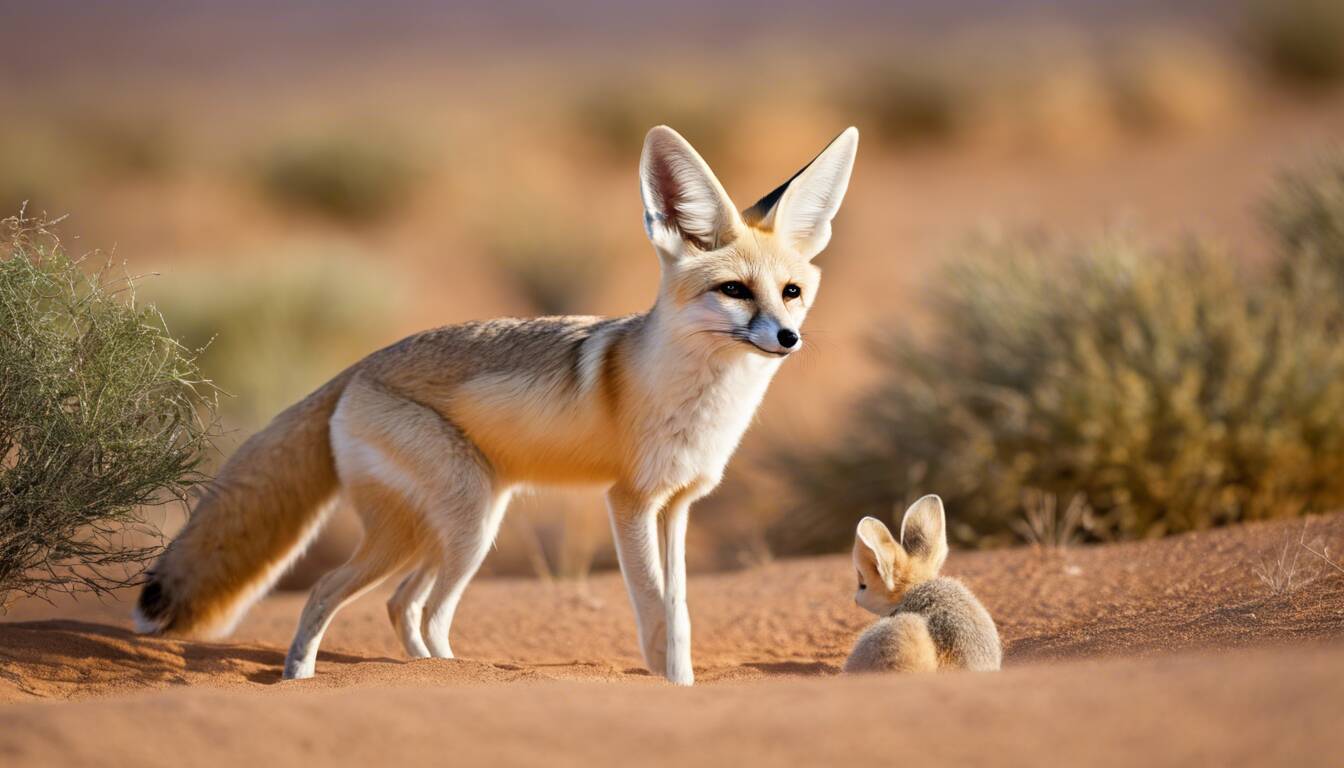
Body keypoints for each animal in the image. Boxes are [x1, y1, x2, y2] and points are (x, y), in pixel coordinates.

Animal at [136, 126, 860, 685]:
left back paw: (437, 673)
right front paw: (669, 687)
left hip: (454, 528)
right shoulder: (629, 501)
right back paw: (307, 679)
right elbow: (655, 610)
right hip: (461, 524)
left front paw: (678, 683)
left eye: (791, 292)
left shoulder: (678, 504)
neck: (703, 401)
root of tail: (354, 370)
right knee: (338, 592)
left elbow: (678, 612)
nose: (788, 339)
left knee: (406, 606)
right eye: (734, 290)